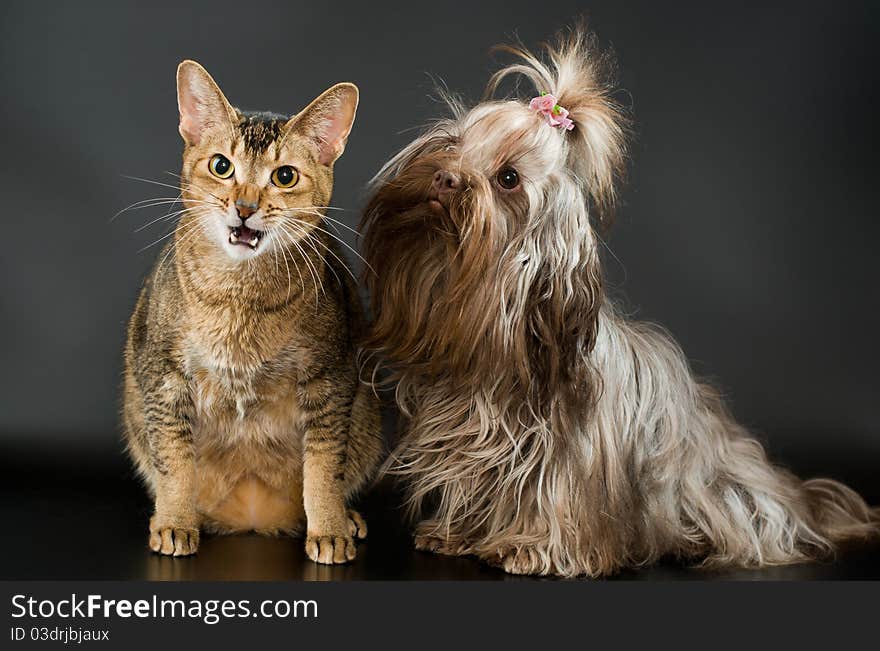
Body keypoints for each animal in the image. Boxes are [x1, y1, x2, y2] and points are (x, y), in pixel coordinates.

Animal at [121, 61, 382, 564]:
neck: (238, 297)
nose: (244, 207)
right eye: (222, 166)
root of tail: (252, 522)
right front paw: (175, 521)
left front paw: (329, 529)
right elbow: (175, 462)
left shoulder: (332, 378)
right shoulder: (161, 372)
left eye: (285, 176)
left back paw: (349, 519)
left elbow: (324, 468)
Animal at [360, 24, 880, 580]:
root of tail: (798, 500)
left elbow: (556, 496)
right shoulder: (467, 437)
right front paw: (455, 534)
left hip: (726, 495)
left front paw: (532, 548)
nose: (445, 179)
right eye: (452, 145)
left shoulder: (569, 450)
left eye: (508, 179)